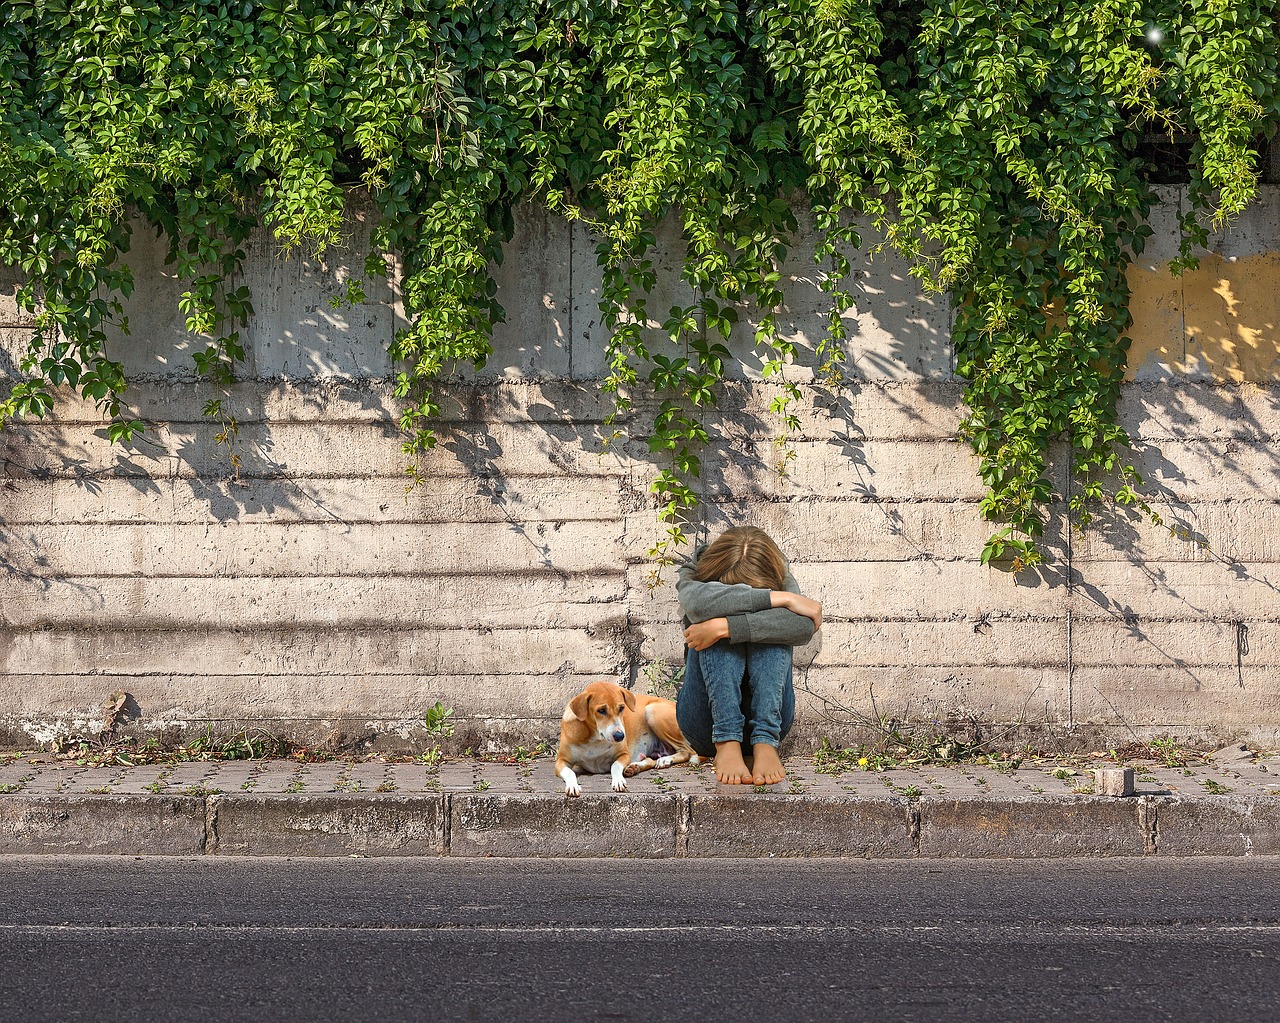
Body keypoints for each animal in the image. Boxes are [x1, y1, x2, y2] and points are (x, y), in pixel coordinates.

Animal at [555, 681, 706, 798]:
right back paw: (635, 767)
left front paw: (618, 781)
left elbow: (615, 766)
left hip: (652, 710)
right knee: (652, 759)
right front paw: (573, 786)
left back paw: (665, 760)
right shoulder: (561, 761)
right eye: (601, 710)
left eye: (622, 708)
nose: (620, 736)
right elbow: (570, 772)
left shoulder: (624, 754)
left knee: (687, 751)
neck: (595, 737)